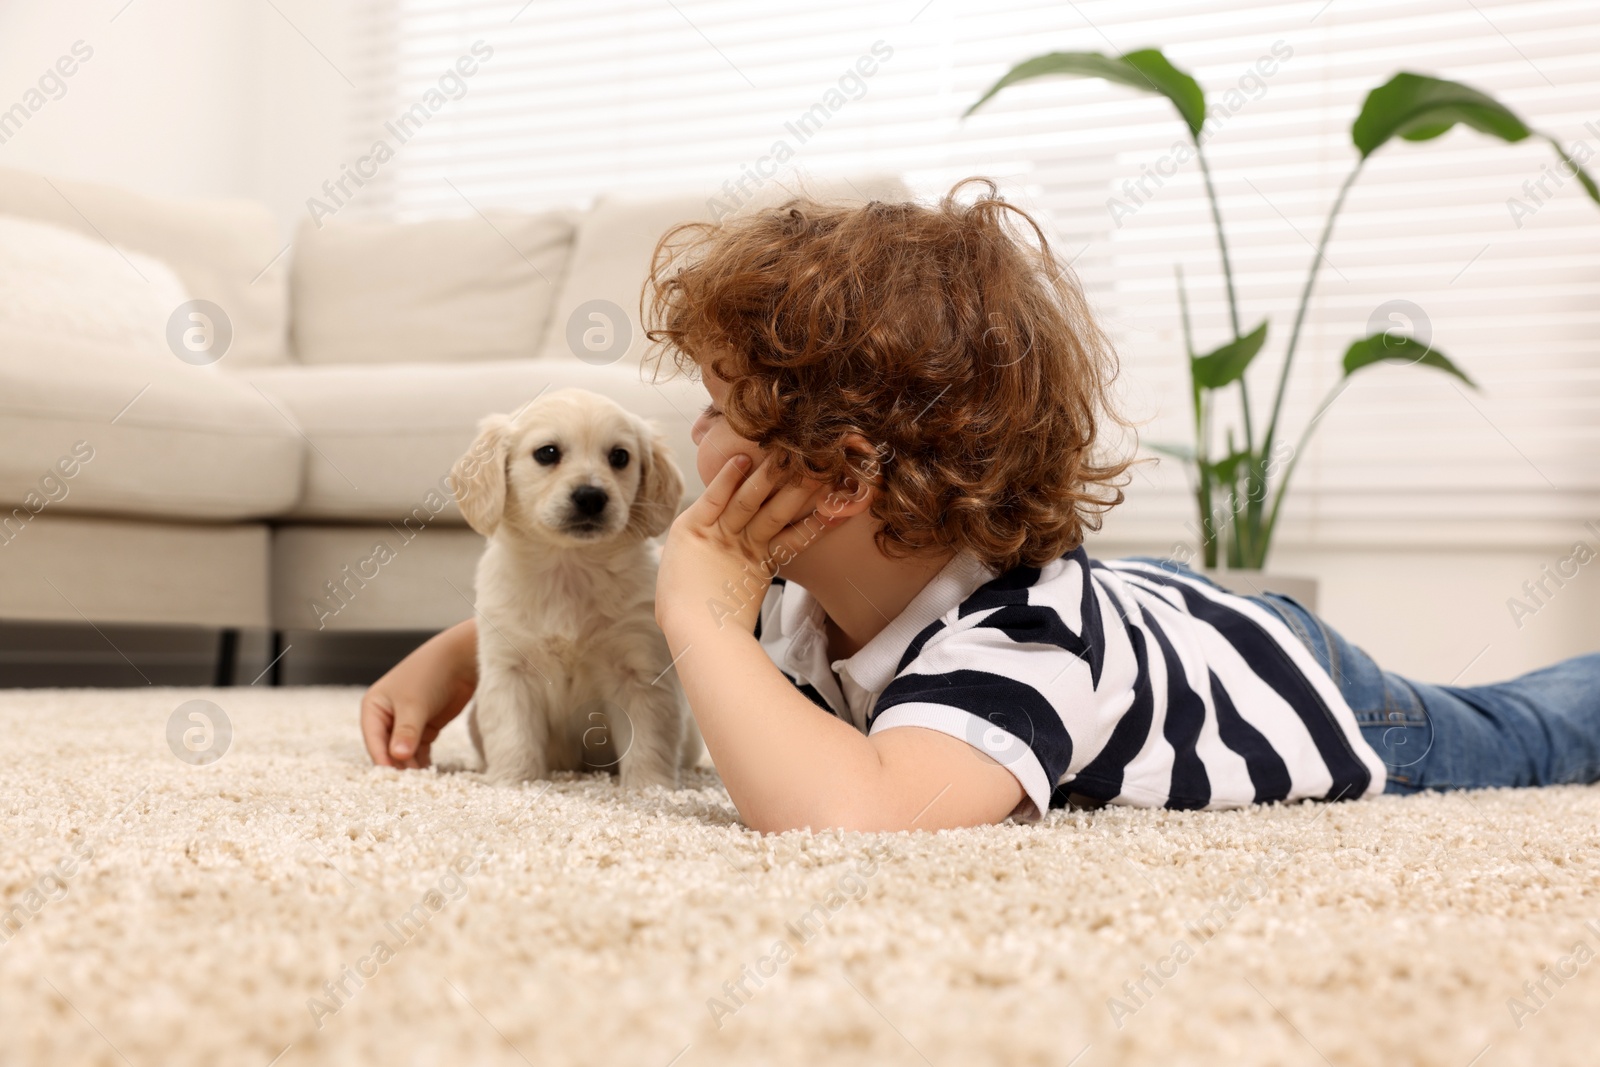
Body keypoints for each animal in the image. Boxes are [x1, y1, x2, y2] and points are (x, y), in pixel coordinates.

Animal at [451, 388, 700, 790]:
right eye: (547, 453)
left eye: (620, 457)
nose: (591, 497)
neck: (569, 567)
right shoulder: (510, 671)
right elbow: (512, 737)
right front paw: (512, 783)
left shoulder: (639, 671)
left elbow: (649, 741)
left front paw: (650, 789)